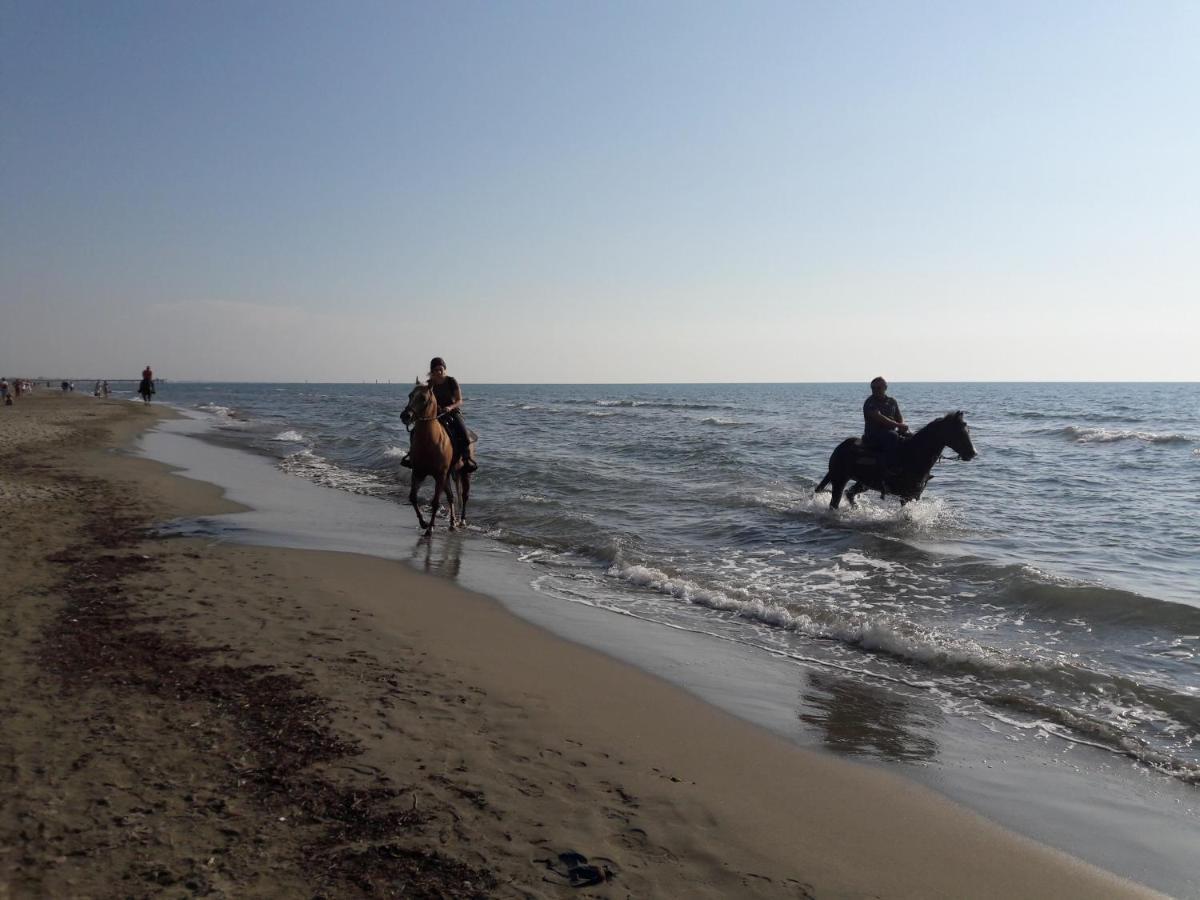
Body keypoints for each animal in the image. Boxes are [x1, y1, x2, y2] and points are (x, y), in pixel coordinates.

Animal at [393, 381, 468, 535]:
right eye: (410, 395)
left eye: (423, 398)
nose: (405, 416)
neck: (429, 441)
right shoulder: (418, 473)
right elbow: (413, 498)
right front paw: (424, 523)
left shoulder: (439, 475)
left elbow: (435, 502)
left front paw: (430, 528)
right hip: (447, 475)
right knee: (451, 496)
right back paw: (452, 522)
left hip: (461, 473)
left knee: (463, 495)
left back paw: (461, 521)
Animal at [816, 412, 974, 511]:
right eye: (959, 432)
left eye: (967, 430)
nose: (973, 453)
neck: (914, 454)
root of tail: (840, 448)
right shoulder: (906, 496)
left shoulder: (915, 496)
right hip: (839, 480)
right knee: (834, 503)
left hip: (864, 483)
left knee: (850, 493)